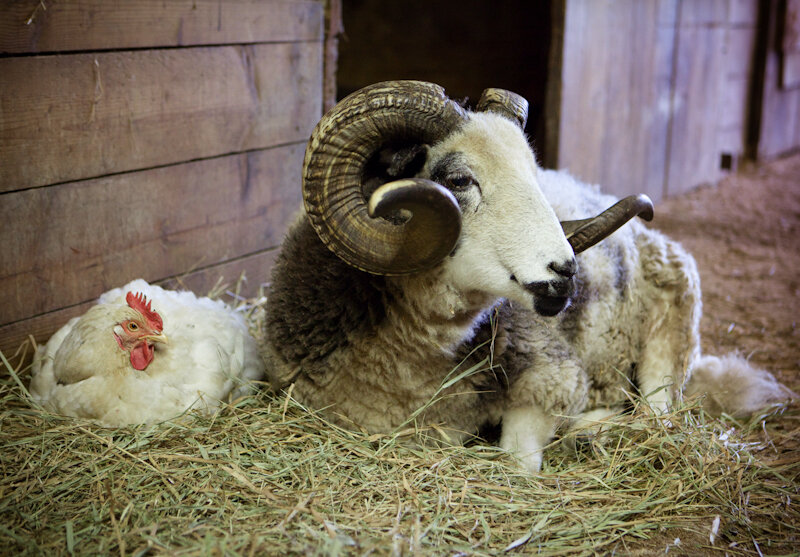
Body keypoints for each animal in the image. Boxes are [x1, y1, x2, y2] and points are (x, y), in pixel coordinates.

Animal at [261, 80, 796, 472]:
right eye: (459, 180)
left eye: (535, 175)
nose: (566, 272)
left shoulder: (554, 377)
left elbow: (517, 460)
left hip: (672, 332)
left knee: (657, 414)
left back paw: (596, 429)